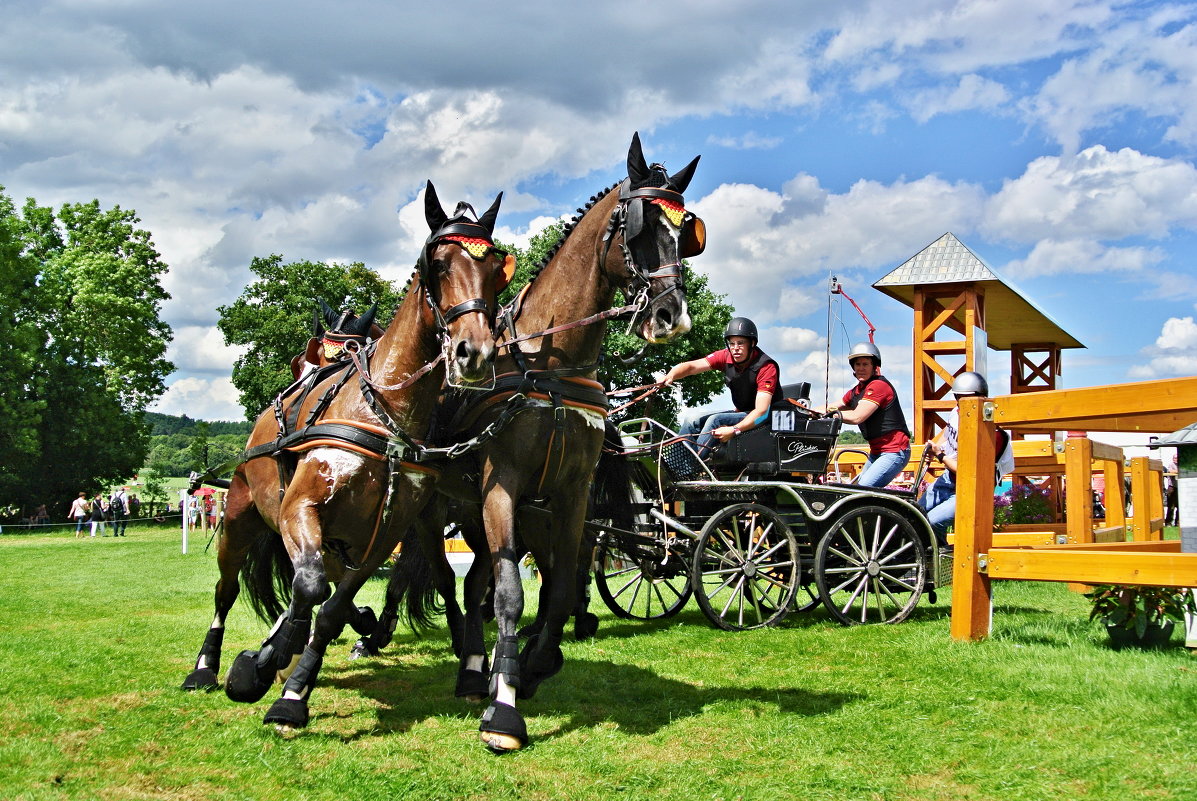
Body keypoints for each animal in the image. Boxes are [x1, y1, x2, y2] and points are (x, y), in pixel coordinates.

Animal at [180, 183, 514, 732]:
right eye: (438, 265)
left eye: (495, 271)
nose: (476, 353)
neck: (383, 413)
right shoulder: (300, 510)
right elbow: (311, 585)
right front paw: (264, 661)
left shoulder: (384, 532)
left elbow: (334, 603)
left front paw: (292, 689)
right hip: (240, 519)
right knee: (227, 590)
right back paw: (206, 666)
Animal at [363, 132, 699, 751]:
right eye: (639, 228)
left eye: (684, 232)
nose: (671, 316)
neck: (550, 365)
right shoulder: (503, 488)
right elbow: (510, 594)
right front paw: (503, 709)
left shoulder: (567, 496)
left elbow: (559, 587)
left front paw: (532, 666)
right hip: (439, 507)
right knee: (449, 578)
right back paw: (469, 663)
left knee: (477, 582)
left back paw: (483, 664)